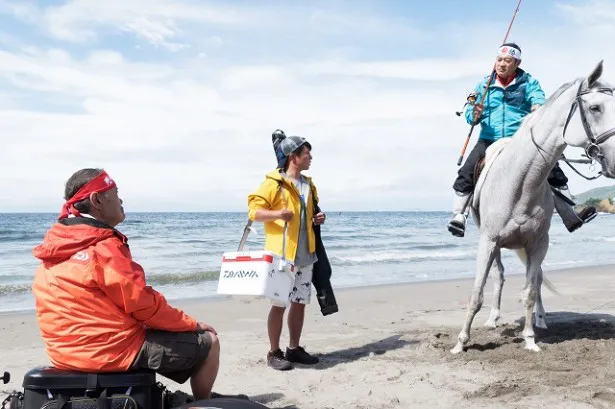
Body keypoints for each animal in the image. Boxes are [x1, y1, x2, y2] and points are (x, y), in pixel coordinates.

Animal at [452, 61, 615, 354]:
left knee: (537, 279)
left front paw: (529, 339)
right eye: (596, 107)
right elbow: (477, 292)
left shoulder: (539, 243)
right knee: (499, 276)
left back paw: (540, 319)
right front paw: (461, 342)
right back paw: (493, 319)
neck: (520, 182)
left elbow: (529, 291)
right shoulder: (488, 241)